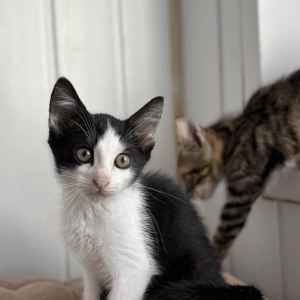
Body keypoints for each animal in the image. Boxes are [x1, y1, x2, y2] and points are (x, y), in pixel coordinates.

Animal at [47, 78, 264, 300]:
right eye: (84, 154)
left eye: (123, 160)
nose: (101, 180)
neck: (93, 210)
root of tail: (219, 280)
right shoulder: (91, 271)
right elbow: (91, 292)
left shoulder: (135, 268)